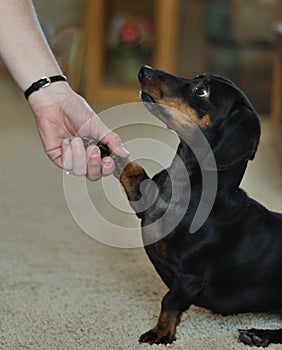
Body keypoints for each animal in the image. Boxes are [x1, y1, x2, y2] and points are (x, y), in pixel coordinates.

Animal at [83, 65, 282, 348]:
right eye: (198, 78)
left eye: (201, 92)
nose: (145, 70)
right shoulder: (145, 199)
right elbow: (133, 168)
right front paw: (104, 146)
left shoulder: (190, 280)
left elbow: (169, 301)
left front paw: (162, 331)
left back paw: (259, 335)